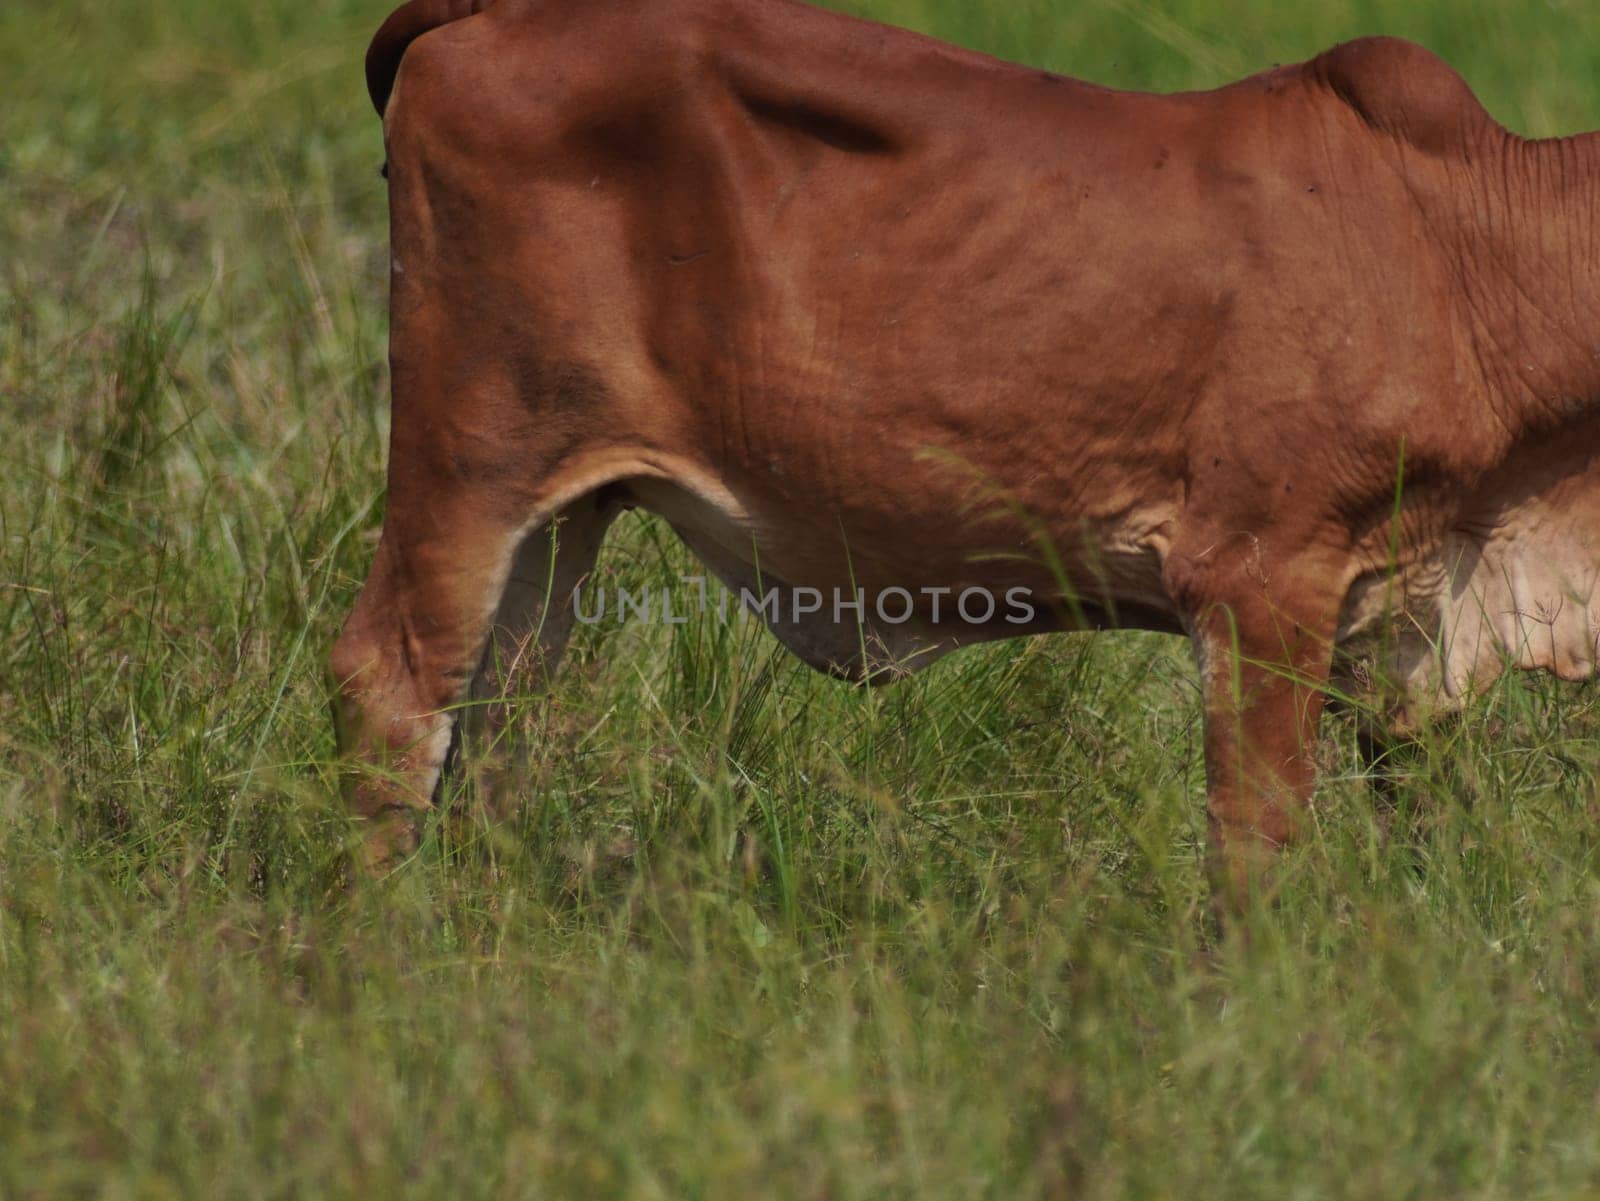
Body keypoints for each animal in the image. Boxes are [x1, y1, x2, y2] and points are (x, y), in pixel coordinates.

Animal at [331, 0, 1600, 901]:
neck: (1466, 245)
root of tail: (488, 12)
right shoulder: (1263, 572)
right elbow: (1258, 848)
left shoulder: (1400, 617)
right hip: (472, 448)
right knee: (392, 681)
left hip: (565, 507)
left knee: (498, 716)